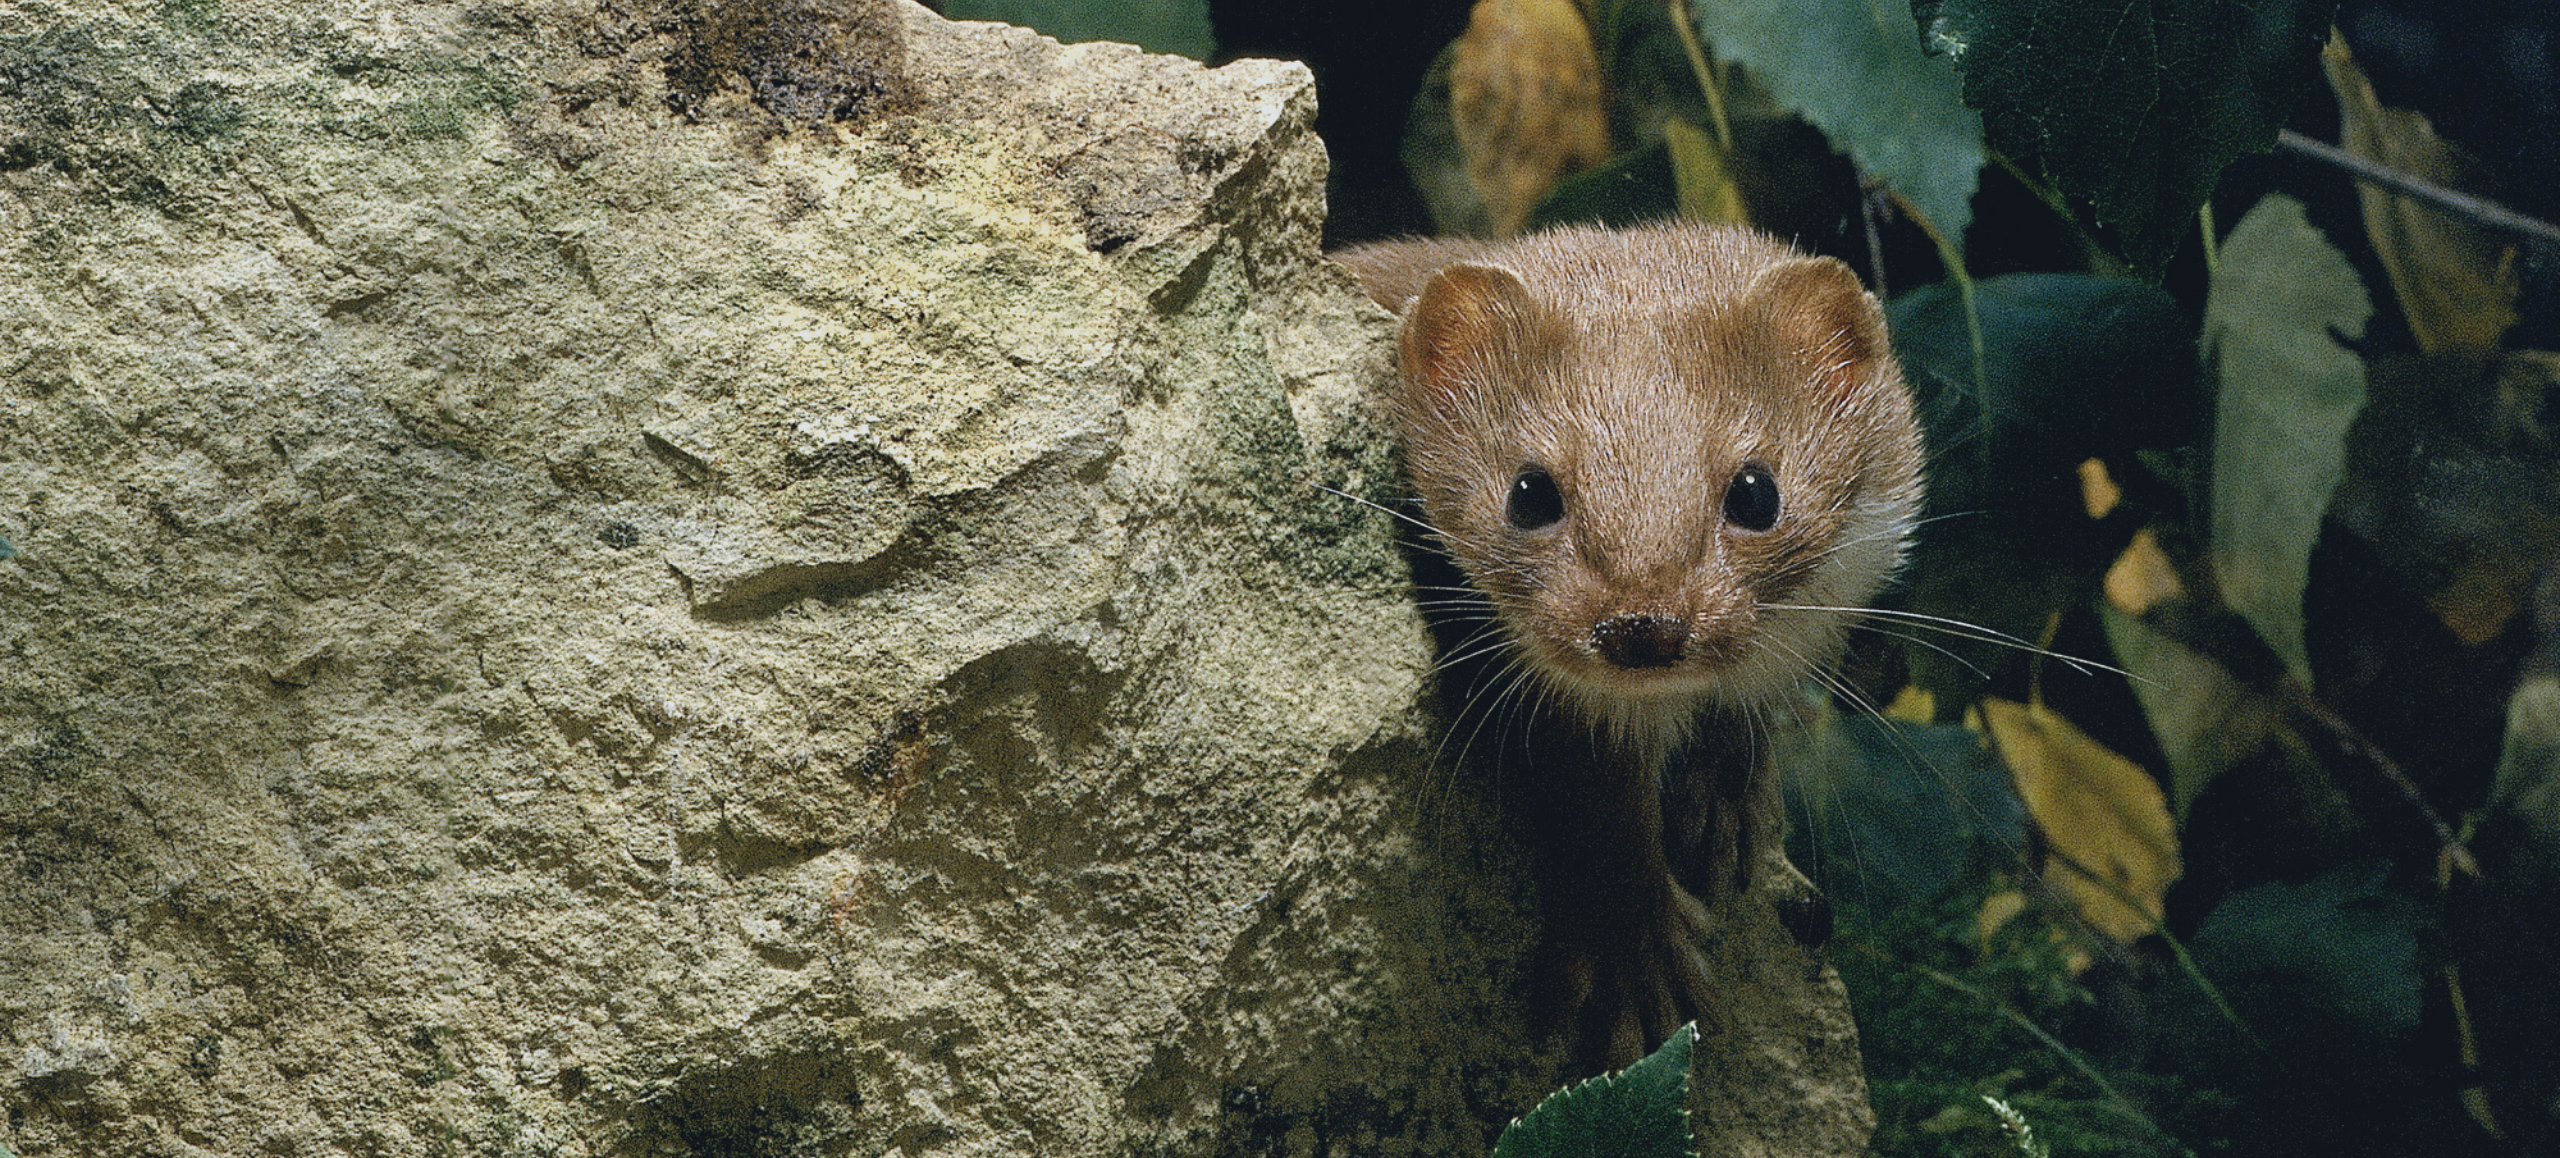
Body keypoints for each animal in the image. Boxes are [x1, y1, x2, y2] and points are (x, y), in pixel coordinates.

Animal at [1341, 221, 1925, 1060]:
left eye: (1756, 490)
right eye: (1530, 491)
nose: (1643, 626)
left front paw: (1725, 797)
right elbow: (1599, 811)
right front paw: (1640, 964)